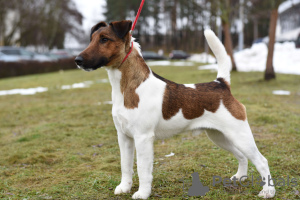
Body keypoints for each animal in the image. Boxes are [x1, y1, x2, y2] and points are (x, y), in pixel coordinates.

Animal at [75, 19, 276, 198]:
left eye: (104, 39)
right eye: (91, 39)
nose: (77, 60)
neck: (128, 87)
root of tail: (221, 84)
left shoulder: (143, 138)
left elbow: (142, 170)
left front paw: (142, 193)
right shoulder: (124, 137)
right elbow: (125, 166)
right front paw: (124, 188)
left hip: (239, 134)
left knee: (262, 160)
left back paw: (268, 191)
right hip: (219, 136)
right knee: (242, 156)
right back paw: (240, 177)